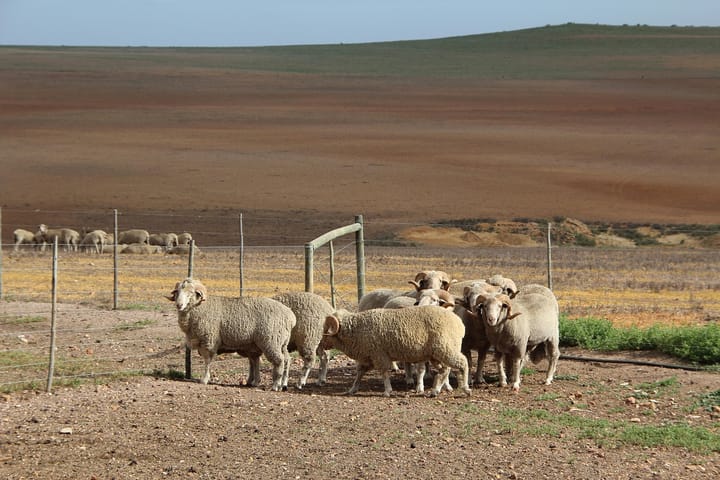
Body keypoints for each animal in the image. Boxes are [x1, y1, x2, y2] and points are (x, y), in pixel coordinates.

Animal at [166, 278, 296, 391]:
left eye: (191, 292)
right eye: (177, 292)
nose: (179, 305)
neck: (200, 307)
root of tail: (290, 316)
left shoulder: (209, 340)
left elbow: (207, 360)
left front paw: (204, 379)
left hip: (271, 341)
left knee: (279, 361)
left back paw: (276, 385)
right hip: (280, 342)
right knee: (285, 359)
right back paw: (281, 384)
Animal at [322, 306, 470, 397]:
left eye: (327, 329)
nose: (321, 344)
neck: (357, 330)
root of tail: (459, 323)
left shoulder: (379, 355)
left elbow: (384, 373)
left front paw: (387, 391)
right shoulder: (369, 357)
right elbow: (359, 373)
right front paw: (352, 389)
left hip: (445, 348)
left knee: (462, 363)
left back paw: (466, 388)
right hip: (437, 353)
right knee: (445, 369)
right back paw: (436, 390)